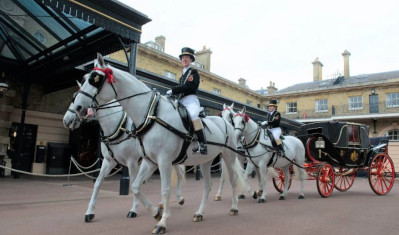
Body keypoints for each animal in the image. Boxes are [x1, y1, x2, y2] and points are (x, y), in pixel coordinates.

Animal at [72, 54, 247, 234]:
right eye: (85, 78)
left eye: (95, 79)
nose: (77, 107)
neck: (151, 115)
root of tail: (225, 122)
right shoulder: (148, 161)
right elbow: (135, 186)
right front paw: (156, 212)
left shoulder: (159, 160)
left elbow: (164, 189)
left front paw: (162, 222)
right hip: (205, 161)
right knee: (207, 186)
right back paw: (199, 212)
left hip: (228, 156)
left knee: (233, 180)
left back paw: (234, 207)